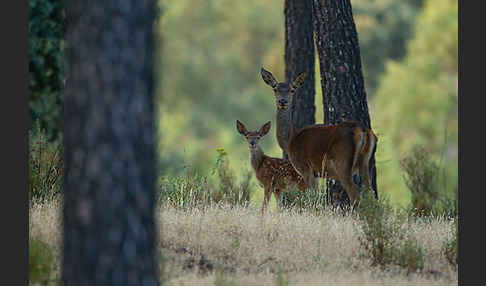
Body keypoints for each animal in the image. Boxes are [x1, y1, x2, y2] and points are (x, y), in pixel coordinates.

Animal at [260, 68, 378, 209]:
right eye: (275, 89)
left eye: (292, 90)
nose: (283, 101)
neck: (290, 141)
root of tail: (363, 131)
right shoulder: (316, 173)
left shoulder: (305, 167)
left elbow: (312, 197)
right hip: (366, 163)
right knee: (371, 194)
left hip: (342, 163)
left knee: (355, 196)